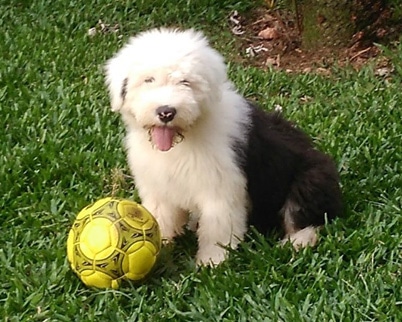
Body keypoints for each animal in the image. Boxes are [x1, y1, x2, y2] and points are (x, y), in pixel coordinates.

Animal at [104, 27, 342, 266]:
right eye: (148, 80)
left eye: (185, 82)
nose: (166, 112)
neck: (183, 140)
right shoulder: (158, 186)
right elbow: (161, 216)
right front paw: (159, 247)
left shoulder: (220, 187)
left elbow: (217, 228)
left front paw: (212, 262)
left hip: (310, 178)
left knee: (307, 218)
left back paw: (296, 242)